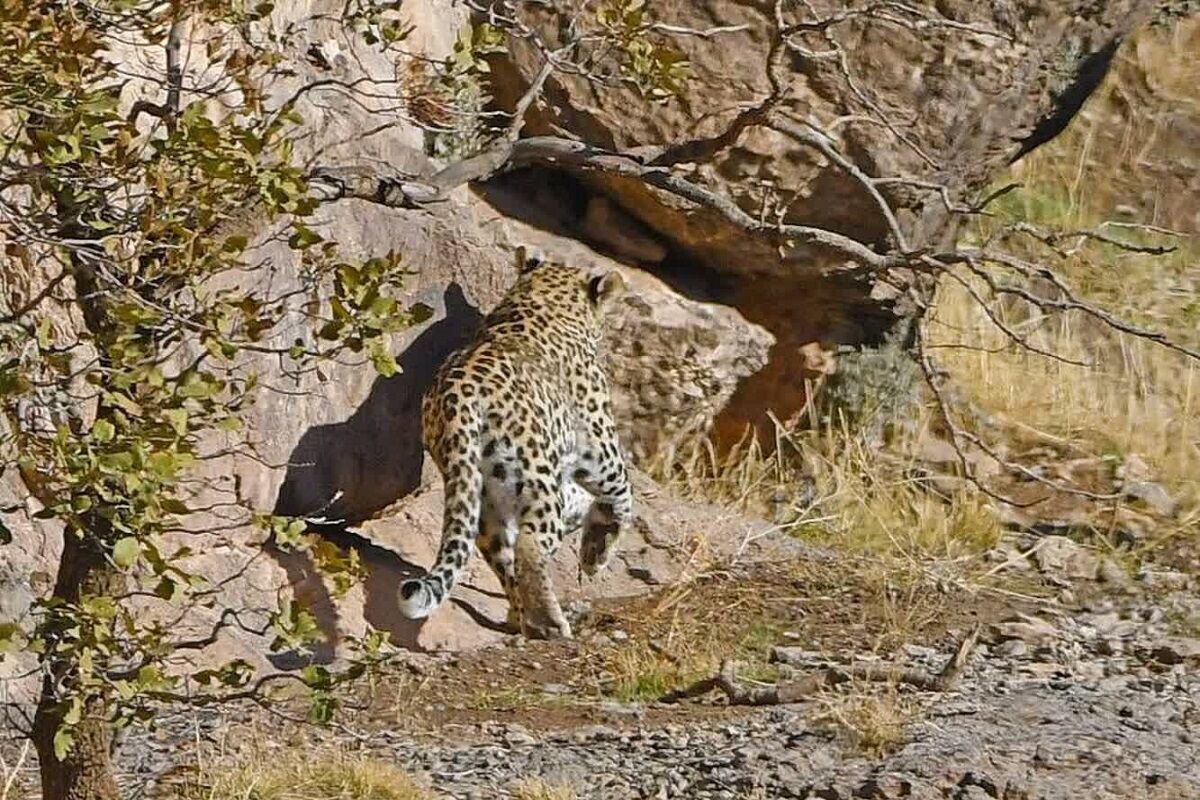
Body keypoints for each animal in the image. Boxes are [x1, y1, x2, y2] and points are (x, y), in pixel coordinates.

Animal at [396, 247, 638, 642]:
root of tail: (457, 401)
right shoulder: (600, 449)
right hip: (536, 477)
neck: (541, 297)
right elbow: (622, 496)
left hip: (482, 496)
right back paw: (551, 623)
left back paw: (522, 618)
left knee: (504, 558)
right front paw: (597, 552)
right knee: (530, 545)